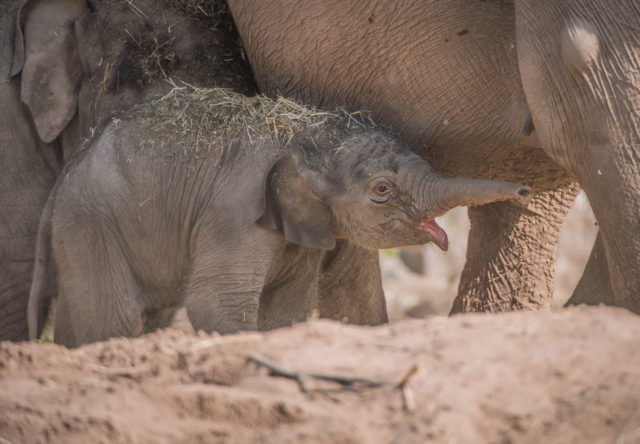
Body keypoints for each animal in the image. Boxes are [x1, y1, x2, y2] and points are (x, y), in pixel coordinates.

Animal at [28, 85, 528, 346]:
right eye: (382, 190)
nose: (523, 189)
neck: (303, 132)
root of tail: (63, 178)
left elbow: (287, 308)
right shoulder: (233, 213)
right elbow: (215, 302)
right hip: (89, 223)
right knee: (114, 318)